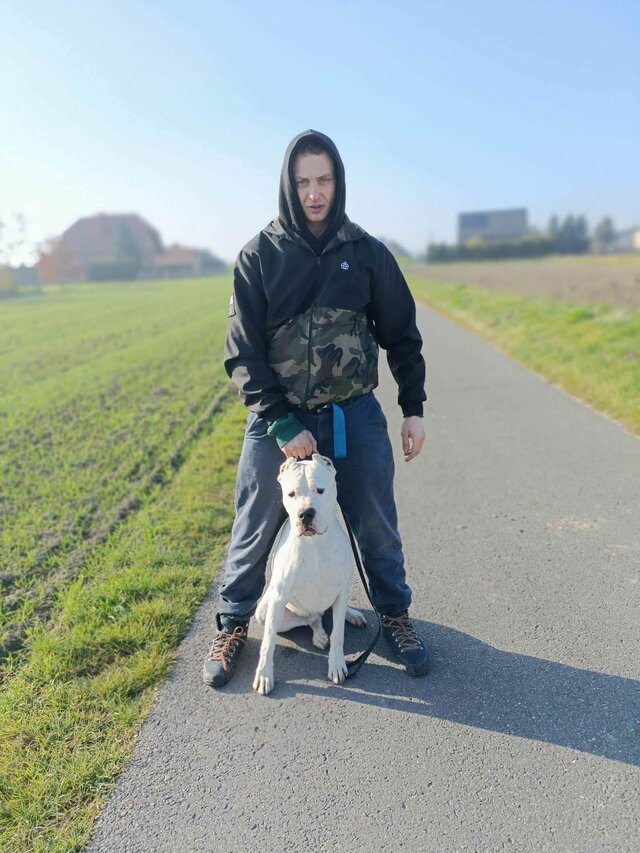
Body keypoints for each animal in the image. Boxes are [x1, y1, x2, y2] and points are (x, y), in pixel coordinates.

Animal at [253, 453, 366, 695]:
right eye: (291, 494)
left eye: (320, 490)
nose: (305, 513)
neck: (314, 543)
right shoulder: (278, 597)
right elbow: (268, 641)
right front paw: (264, 674)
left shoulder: (341, 586)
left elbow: (338, 633)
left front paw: (337, 663)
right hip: (266, 610)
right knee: (311, 618)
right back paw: (319, 634)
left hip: (339, 595)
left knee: (332, 612)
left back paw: (351, 615)